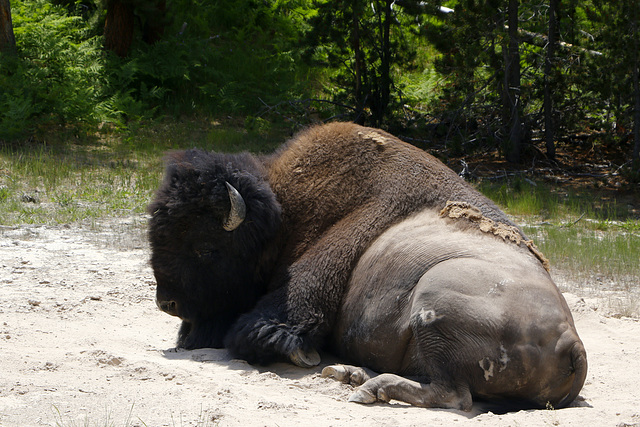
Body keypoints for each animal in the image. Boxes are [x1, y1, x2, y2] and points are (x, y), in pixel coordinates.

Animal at [148, 121, 588, 412]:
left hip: (433, 301)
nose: (167, 304)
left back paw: (369, 388)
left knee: (453, 395)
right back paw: (350, 373)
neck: (285, 214)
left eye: (206, 248)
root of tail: (572, 341)